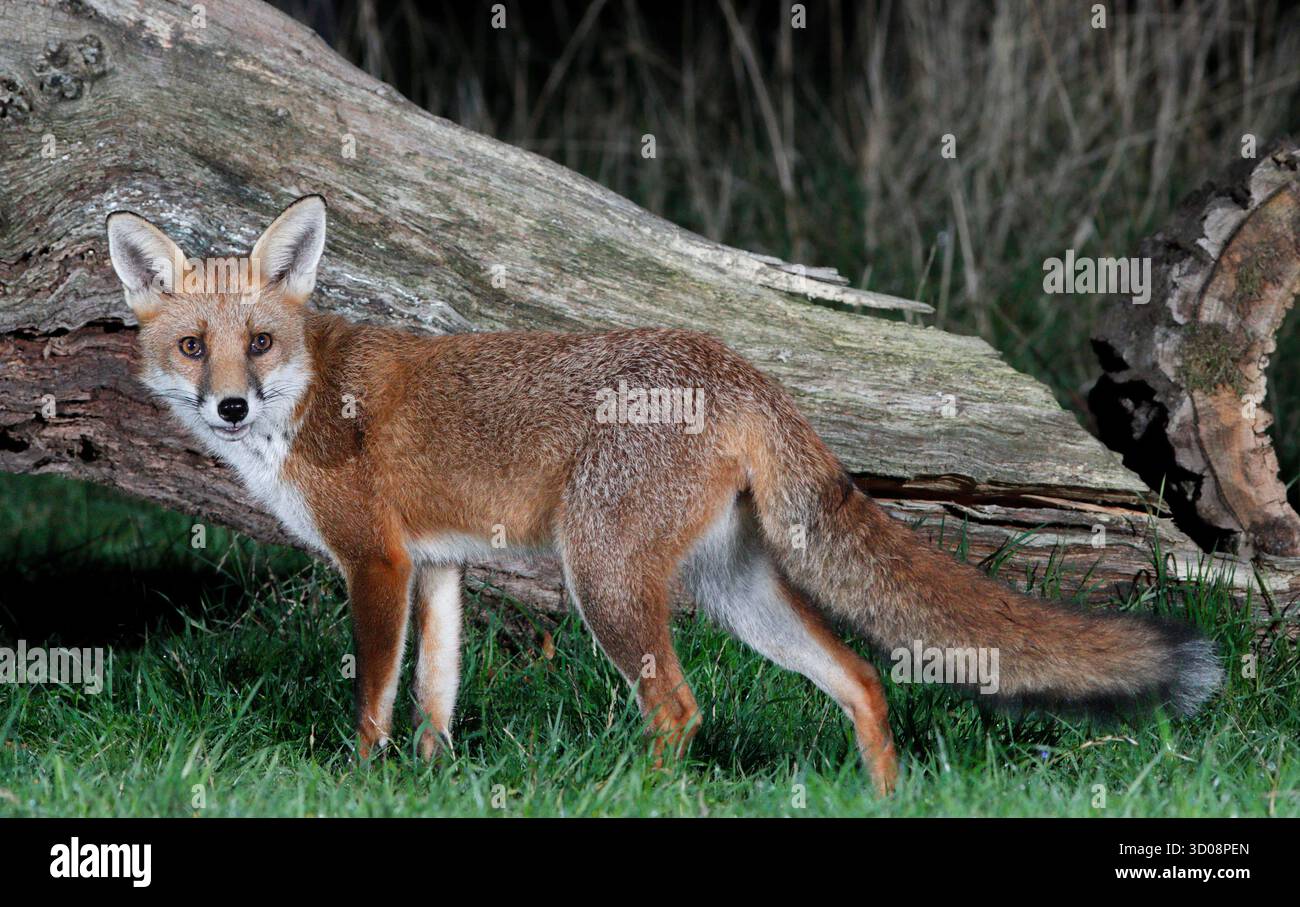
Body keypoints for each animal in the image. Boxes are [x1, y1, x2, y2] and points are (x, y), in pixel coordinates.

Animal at [105, 195, 1222, 794]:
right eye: (193, 347)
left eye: (259, 341)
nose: (232, 405)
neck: (310, 392)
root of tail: (736, 364)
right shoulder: (440, 564)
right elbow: (436, 696)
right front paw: (423, 782)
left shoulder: (374, 559)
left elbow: (376, 697)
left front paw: (364, 780)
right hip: (735, 590)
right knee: (862, 678)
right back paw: (885, 798)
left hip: (602, 577)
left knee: (681, 710)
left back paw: (636, 794)